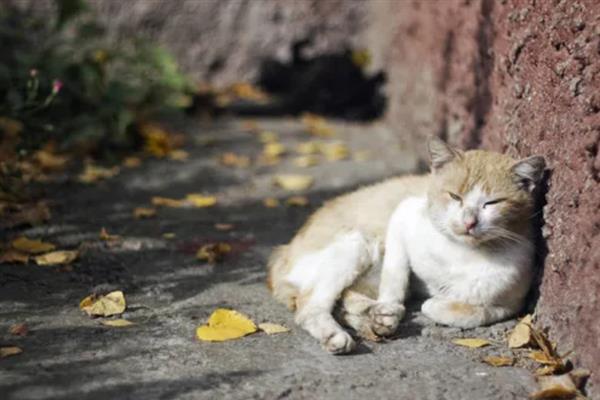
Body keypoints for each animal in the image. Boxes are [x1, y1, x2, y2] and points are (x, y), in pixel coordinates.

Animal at [266, 137, 544, 354]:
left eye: (492, 203)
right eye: (454, 196)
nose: (469, 222)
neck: (462, 253)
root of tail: (283, 251)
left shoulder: (513, 303)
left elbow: (479, 312)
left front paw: (435, 305)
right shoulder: (403, 215)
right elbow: (396, 275)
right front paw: (392, 306)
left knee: (344, 300)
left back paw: (372, 318)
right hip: (358, 243)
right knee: (310, 307)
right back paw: (344, 331)